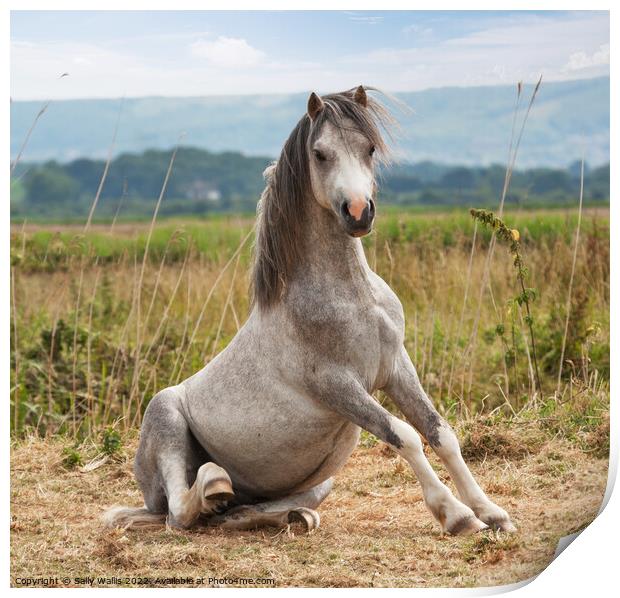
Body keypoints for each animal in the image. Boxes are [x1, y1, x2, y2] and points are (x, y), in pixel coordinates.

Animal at [104, 85, 516, 540]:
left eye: (369, 148)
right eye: (320, 154)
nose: (359, 212)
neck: (353, 298)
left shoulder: (396, 367)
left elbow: (440, 433)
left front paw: (493, 513)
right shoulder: (337, 386)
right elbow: (405, 436)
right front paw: (457, 516)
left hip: (321, 482)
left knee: (240, 512)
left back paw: (282, 514)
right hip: (166, 419)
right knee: (180, 512)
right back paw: (212, 485)